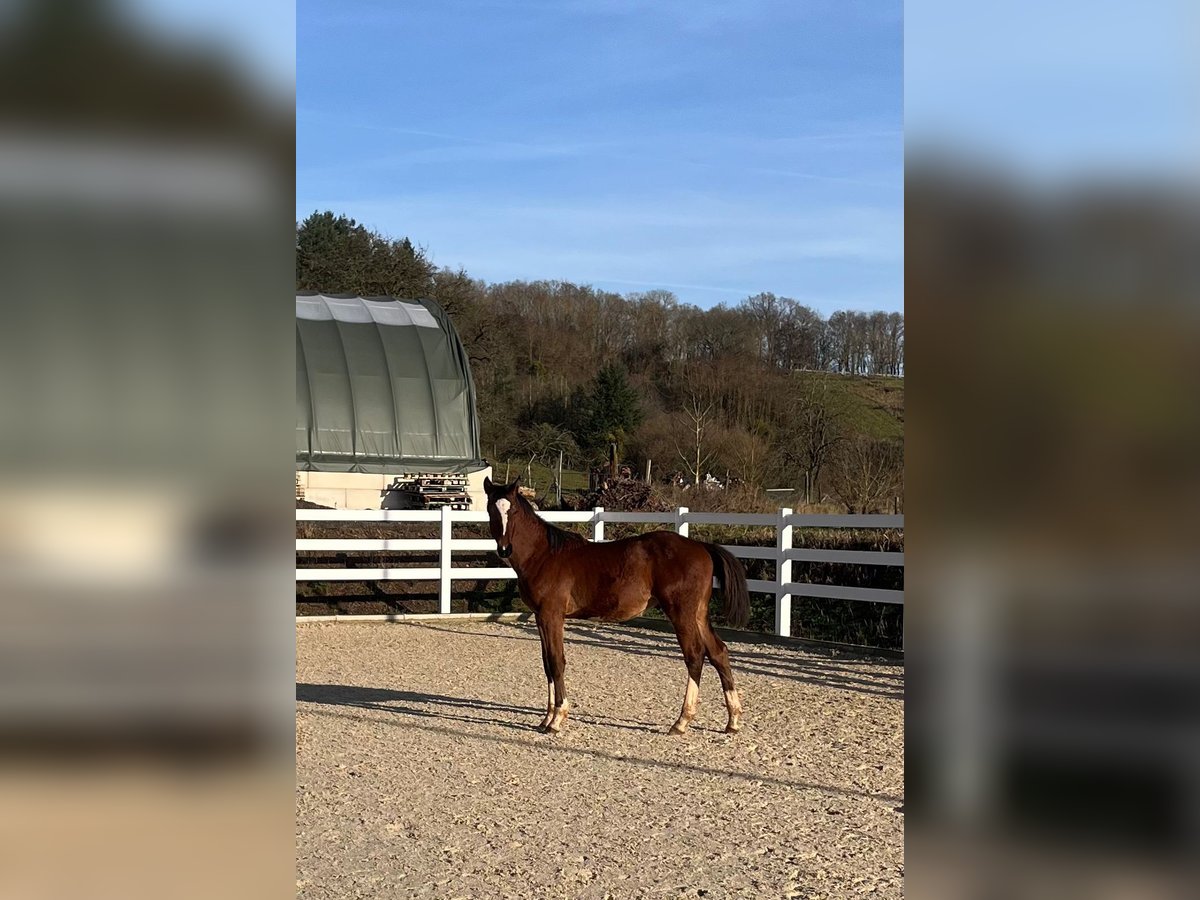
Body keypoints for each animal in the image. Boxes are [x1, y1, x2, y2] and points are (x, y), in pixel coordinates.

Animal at [483, 476, 748, 735]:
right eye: (491, 510)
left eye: (513, 510)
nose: (504, 549)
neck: (544, 555)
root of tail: (701, 546)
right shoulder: (540, 617)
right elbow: (547, 662)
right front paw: (546, 718)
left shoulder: (552, 616)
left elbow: (557, 661)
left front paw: (557, 719)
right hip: (699, 614)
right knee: (718, 652)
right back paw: (733, 721)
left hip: (681, 614)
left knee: (694, 655)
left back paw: (681, 722)